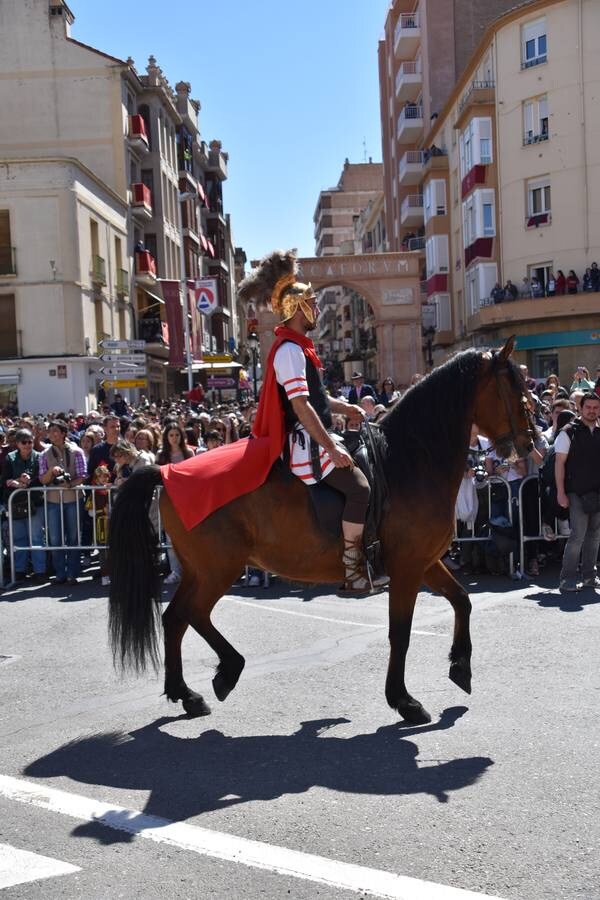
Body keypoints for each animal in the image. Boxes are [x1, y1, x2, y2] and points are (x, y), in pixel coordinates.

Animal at [109, 338, 536, 724]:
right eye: (517, 393)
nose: (529, 443)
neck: (409, 461)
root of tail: (166, 471)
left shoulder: (426, 561)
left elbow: (462, 600)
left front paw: (460, 667)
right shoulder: (409, 567)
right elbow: (401, 632)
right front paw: (404, 700)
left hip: (201, 570)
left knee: (174, 619)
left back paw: (187, 693)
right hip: (218, 568)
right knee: (191, 614)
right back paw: (225, 672)